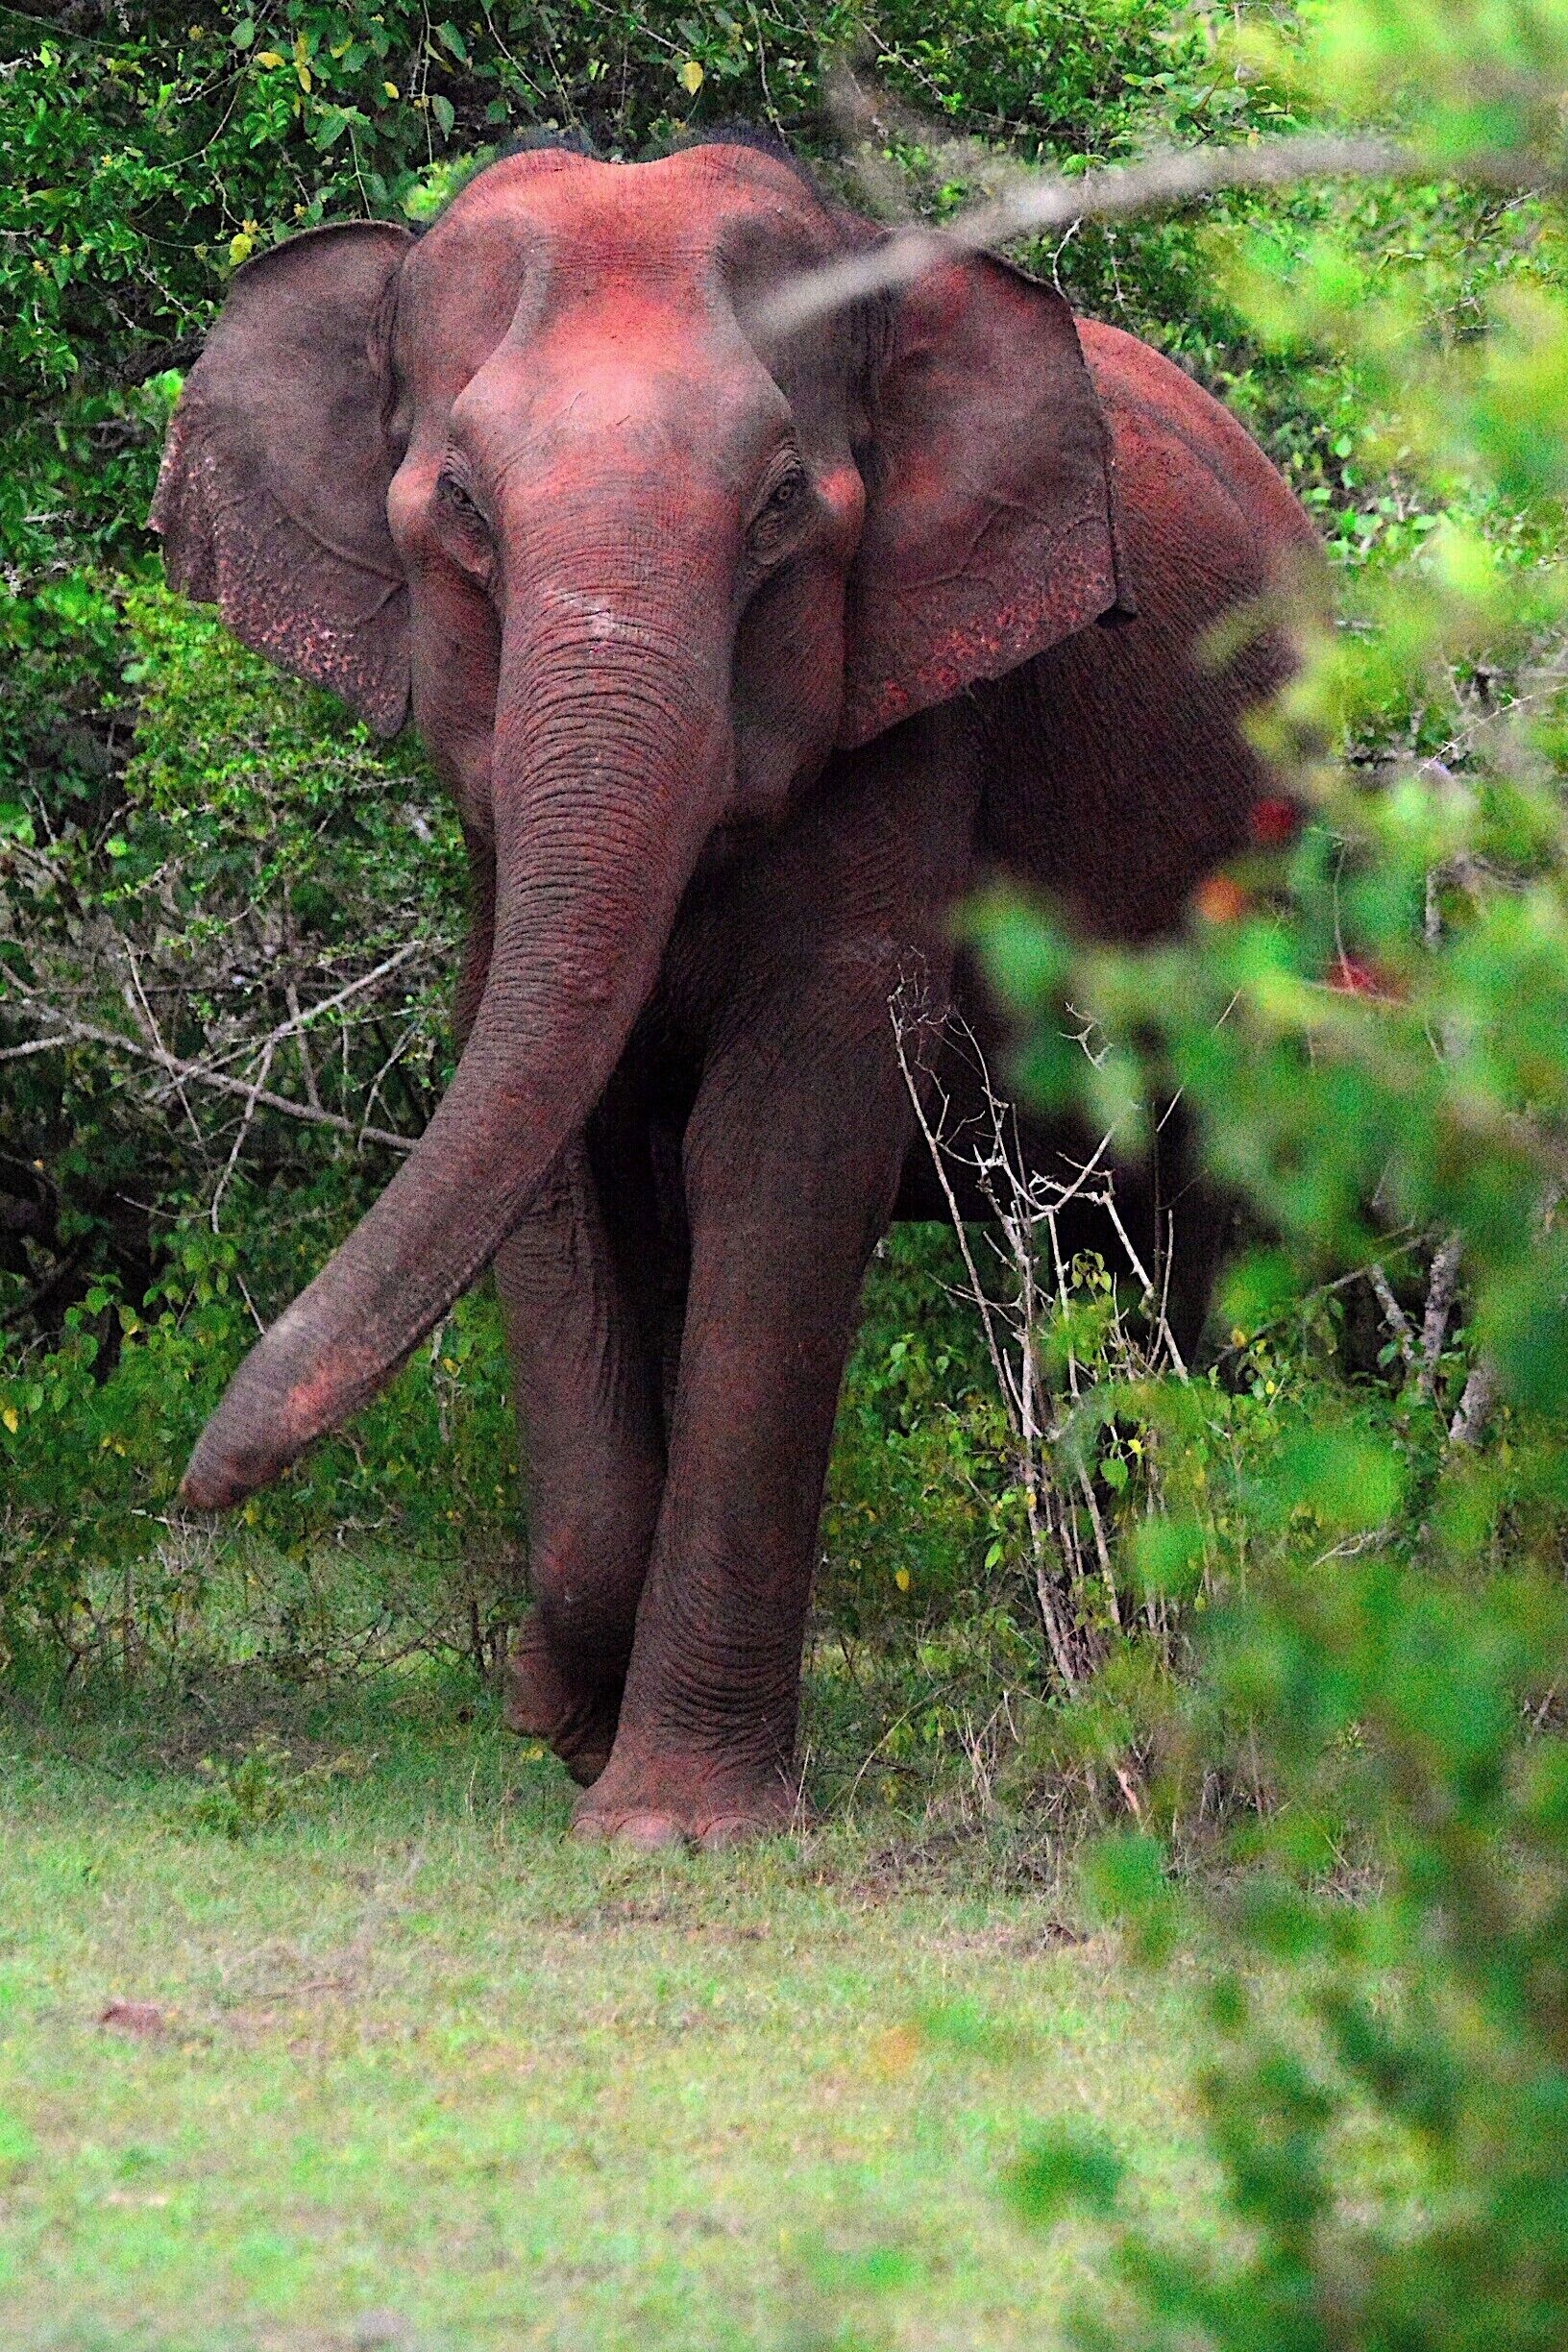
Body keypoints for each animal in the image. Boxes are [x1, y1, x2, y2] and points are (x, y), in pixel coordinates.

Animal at [154, 132, 1319, 1849]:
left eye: (783, 507)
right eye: (459, 510)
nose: (200, 1482)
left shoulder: (917, 707)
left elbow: (783, 1137)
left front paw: (673, 1823)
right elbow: (556, 1132)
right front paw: (571, 1716)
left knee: (1197, 1251)